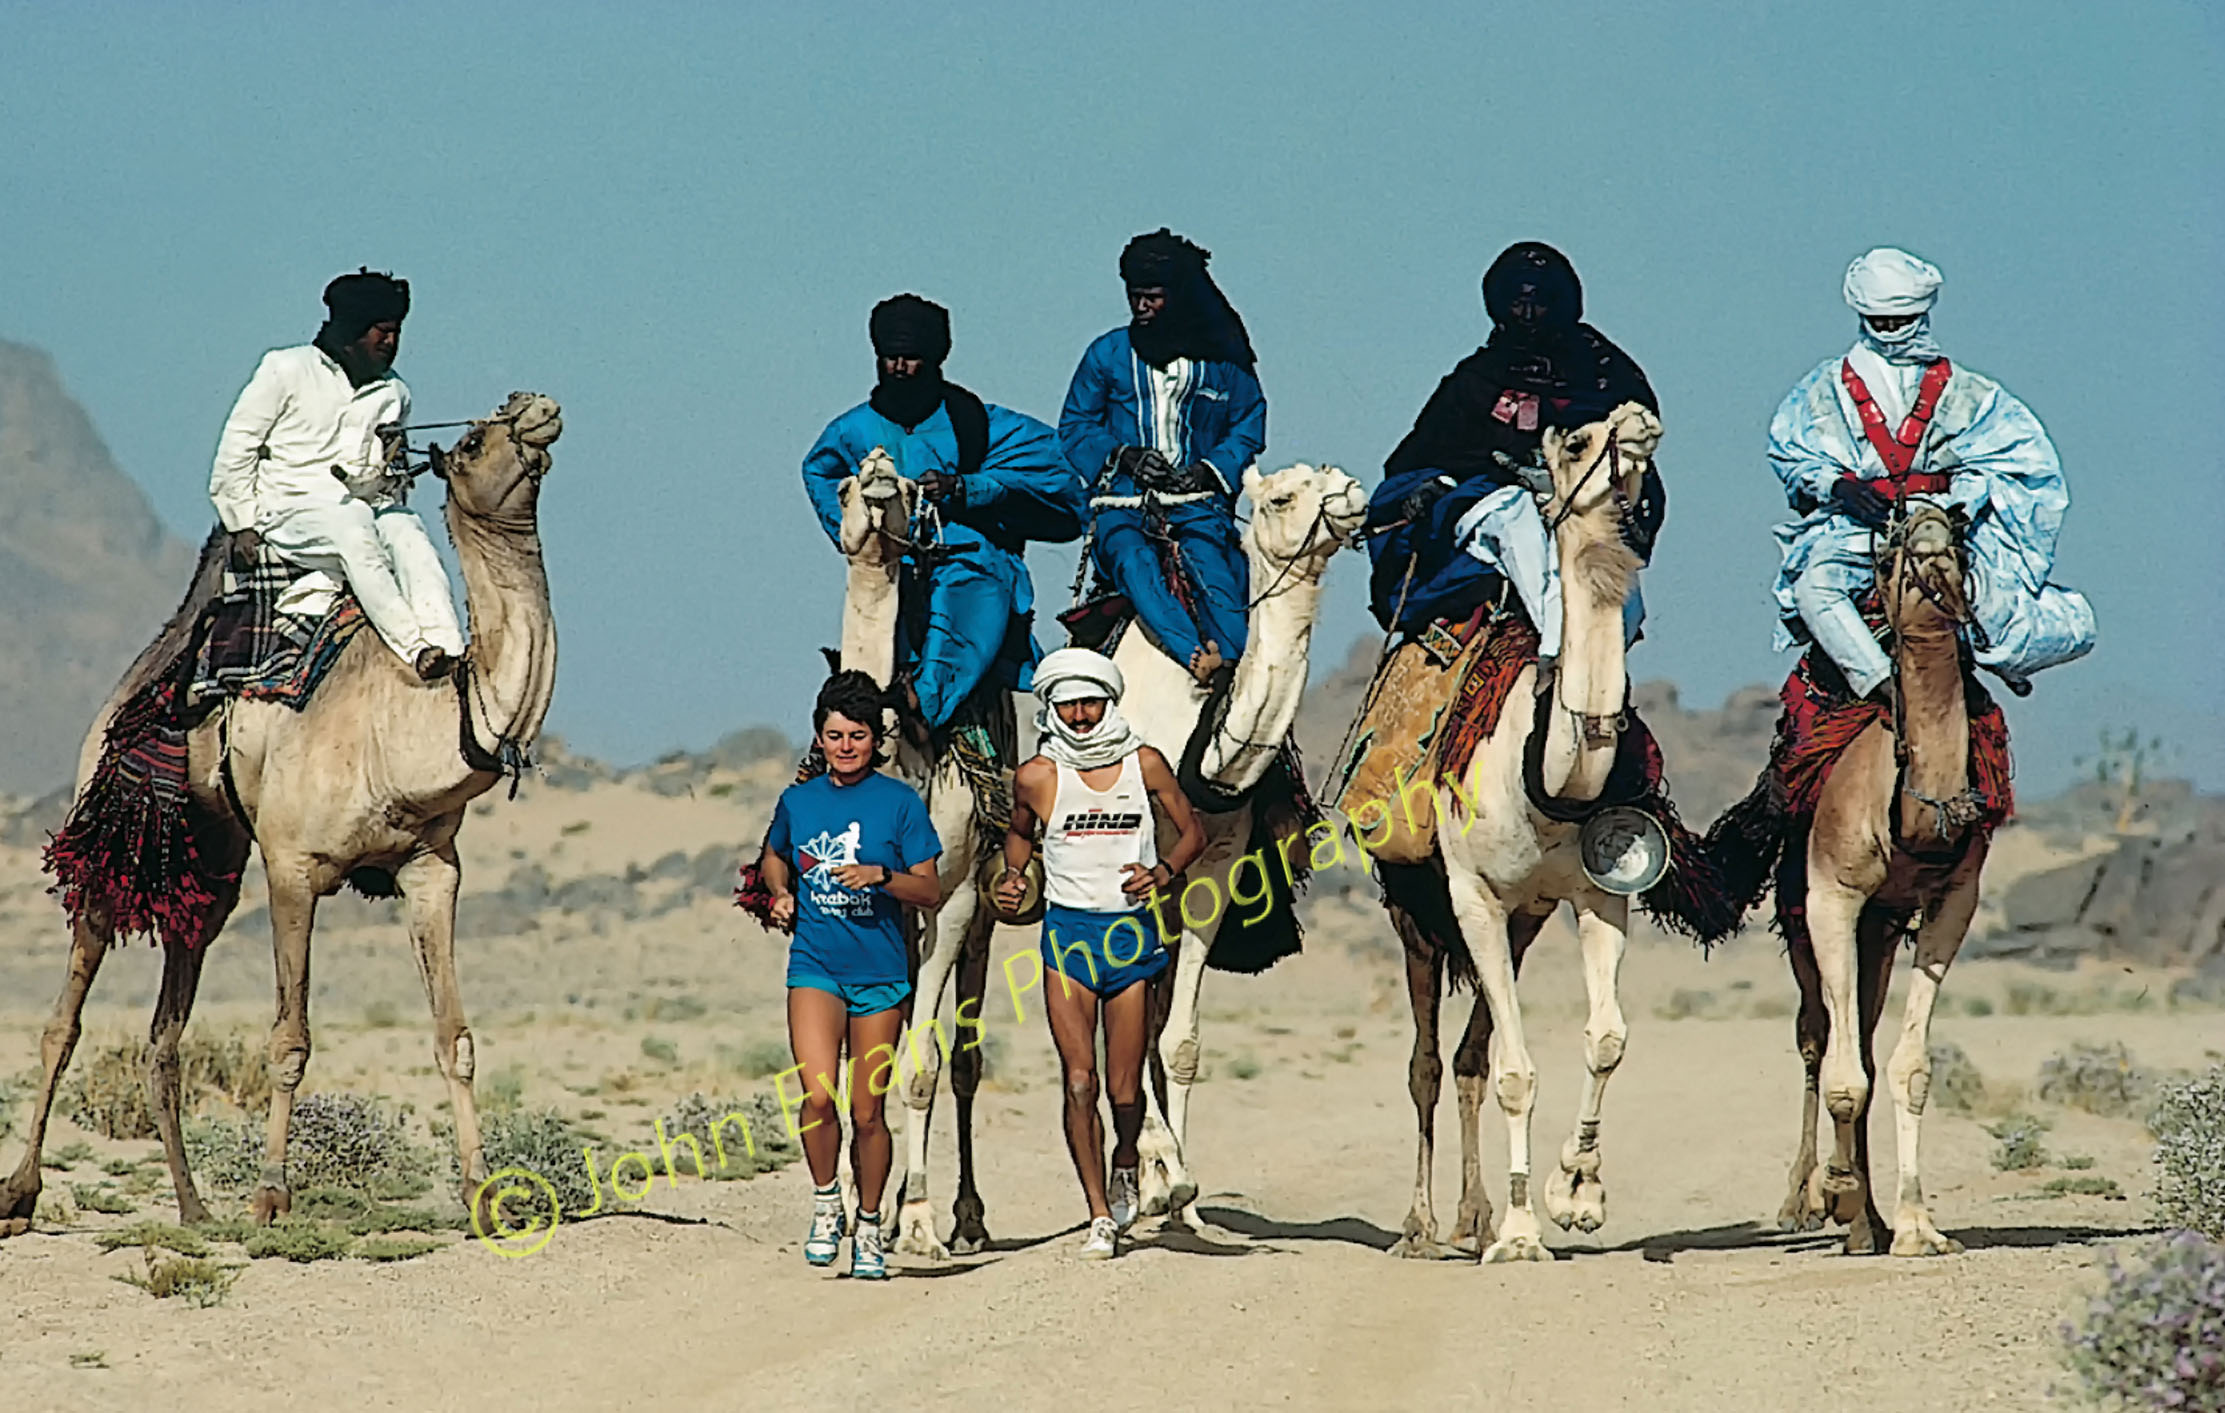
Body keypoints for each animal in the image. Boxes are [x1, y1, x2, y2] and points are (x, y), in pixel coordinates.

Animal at [0, 391, 565, 1237]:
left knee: (164, 1033)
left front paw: (481, 1192)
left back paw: (194, 1205)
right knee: (63, 1020)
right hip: (110, 832)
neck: (410, 721)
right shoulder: (294, 868)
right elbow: (289, 1040)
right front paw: (271, 1192)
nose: (536, 407)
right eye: (470, 442)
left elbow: (454, 1037)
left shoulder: (431, 867)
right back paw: (22, 1193)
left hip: (209, 867)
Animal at [1103, 460, 1361, 1219]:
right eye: (1281, 496)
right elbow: (1128, 1027)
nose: (1353, 494)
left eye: (1332, 474)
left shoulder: (1213, 866)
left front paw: (1181, 1190)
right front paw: (1164, 1177)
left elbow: (1178, 1037)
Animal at [1388, 402, 1673, 1263]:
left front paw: (1573, 1192)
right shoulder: (1471, 896)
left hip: (1524, 918)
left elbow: (1606, 1037)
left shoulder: (1595, 896)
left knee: (1467, 1055)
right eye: (1576, 439)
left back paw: (1469, 1214)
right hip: (1418, 911)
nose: (1638, 421)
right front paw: (1519, 1233)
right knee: (1425, 1061)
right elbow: (1516, 1070)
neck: (1549, 775)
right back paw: (1420, 1224)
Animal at [1771, 500, 2002, 1263]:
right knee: (1819, 1039)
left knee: (1864, 1043)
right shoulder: (1832, 897)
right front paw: (1833, 1190)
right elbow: (1844, 1077)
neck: (1914, 801)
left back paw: (1865, 1220)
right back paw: (1808, 1199)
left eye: (1958, 526)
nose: (1931, 533)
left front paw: (1915, 1224)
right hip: (1807, 924)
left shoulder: (1952, 900)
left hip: (1878, 928)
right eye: (1893, 537)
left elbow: (1906, 1068)